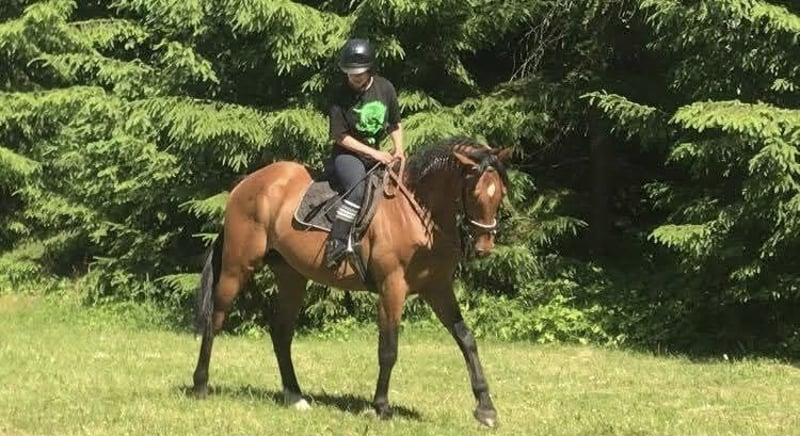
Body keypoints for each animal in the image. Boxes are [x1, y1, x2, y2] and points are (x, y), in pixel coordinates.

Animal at [191, 135, 513, 427]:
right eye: (474, 193)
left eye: (499, 194)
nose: (484, 246)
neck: (418, 214)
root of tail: (245, 184)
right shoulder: (391, 288)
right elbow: (388, 349)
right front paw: (381, 407)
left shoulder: (437, 288)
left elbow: (466, 339)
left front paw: (486, 409)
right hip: (237, 267)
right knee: (215, 320)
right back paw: (200, 385)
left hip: (292, 276)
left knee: (281, 333)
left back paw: (295, 396)